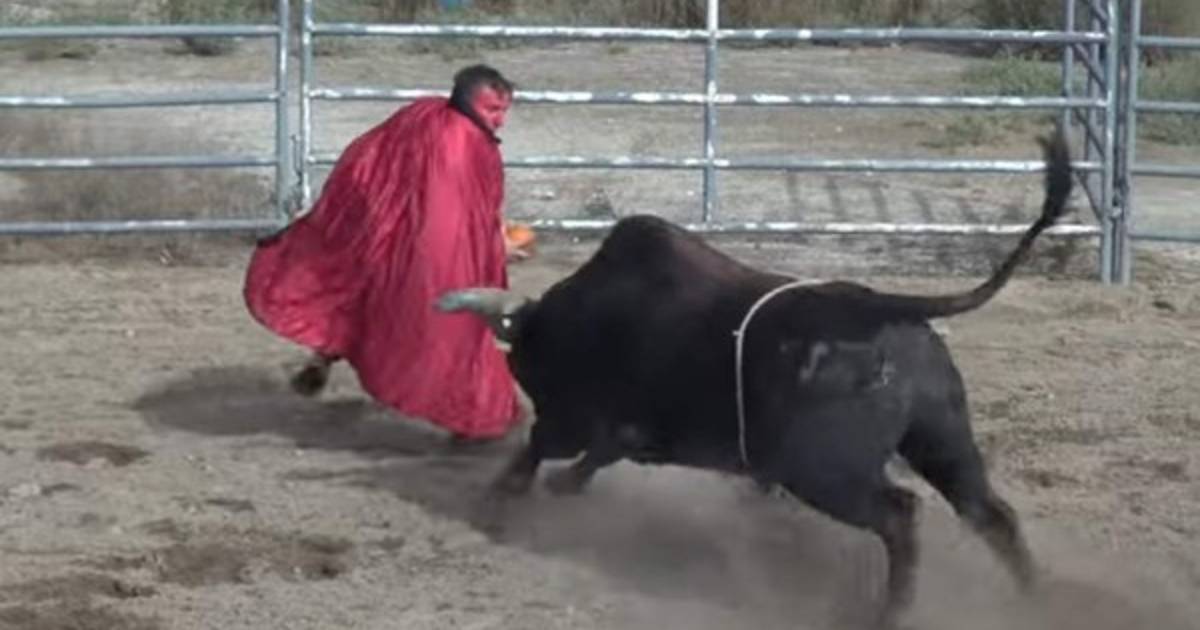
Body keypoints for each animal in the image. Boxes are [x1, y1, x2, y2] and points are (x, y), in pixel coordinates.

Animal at [436, 129, 1073, 628]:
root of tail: (878, 310)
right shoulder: (620, 430)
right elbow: (594, 455)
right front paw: (558, 486)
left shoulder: (576, 416)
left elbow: (540, 449)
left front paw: (498, 502)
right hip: (942, 439)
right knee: (988, 512)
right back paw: (1033, 598)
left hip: (826, 471)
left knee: (901, 515)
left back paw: (891, 613)